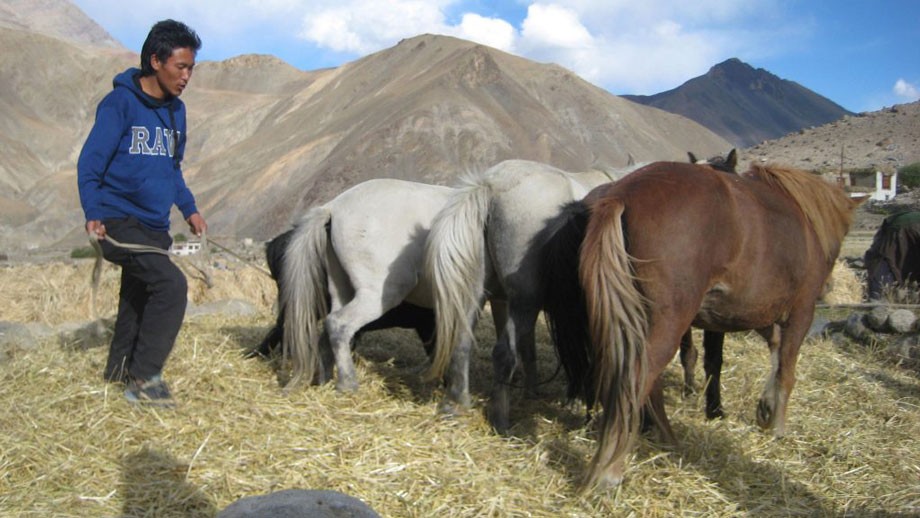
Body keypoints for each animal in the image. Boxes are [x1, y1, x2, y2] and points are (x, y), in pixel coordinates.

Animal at [424, 159, 640, 434]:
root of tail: (491, 185)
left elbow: (531, 350)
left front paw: (534, 392)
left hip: (483, 294)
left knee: (463, 342)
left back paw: (456, 403)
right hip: (524, 302)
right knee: (504, 352)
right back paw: (500, 419)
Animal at [544, 161, 860, 492]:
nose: (832, 286)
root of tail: (620, 194)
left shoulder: (757, 314)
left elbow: (774, 353)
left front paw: (766, 408)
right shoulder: (800, 312)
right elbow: (786, 371)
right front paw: (777, 426)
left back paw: (665, 440)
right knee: (636, 382)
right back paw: (610, 469)